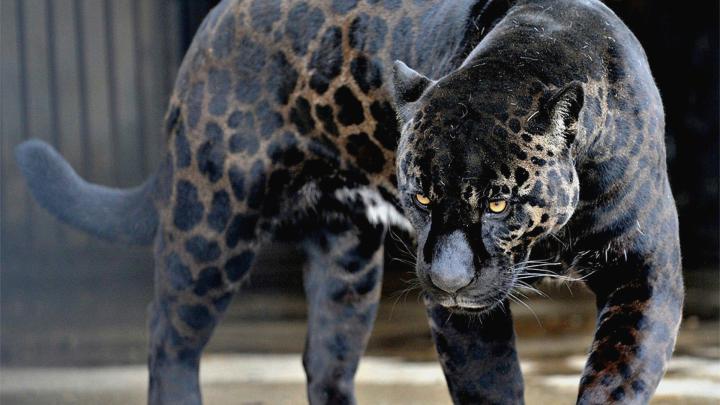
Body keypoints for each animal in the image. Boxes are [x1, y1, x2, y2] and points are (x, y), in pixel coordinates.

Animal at [15, 0, 684, 404]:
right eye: (420, 194)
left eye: (498, 204)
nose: (446, 278)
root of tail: (210, 26)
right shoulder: (461, 314)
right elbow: (490, 382)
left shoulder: (646, 271)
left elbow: (616, 377)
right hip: (213, 219)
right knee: (169, 330)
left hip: (347, 265)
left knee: (325, 359)